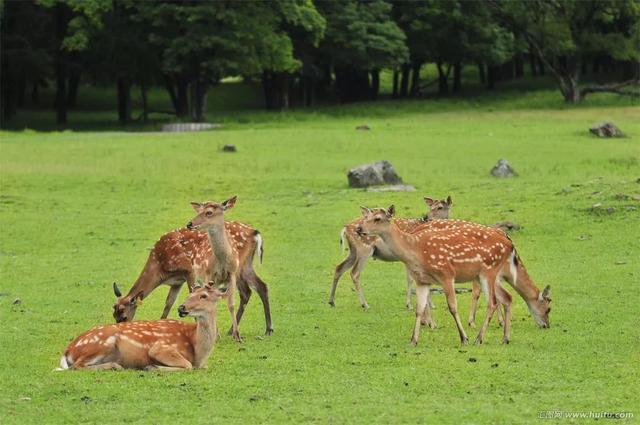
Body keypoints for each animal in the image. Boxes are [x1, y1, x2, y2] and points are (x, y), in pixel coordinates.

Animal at [58, 284, 228, 372]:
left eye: (204, 295)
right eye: (189, 294)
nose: (182, 307)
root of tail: (68, 350)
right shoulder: (161, 347)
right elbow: (188, 365)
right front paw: (152, 367)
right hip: (102, 344)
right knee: (76, 366)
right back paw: (116, 366)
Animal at [113, 209, 272, 334]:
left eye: (124, 316)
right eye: (114, 316)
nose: (120, 329)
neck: (160, 267)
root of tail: (254, 233)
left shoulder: (189, 270)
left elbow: (193, 296)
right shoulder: (176, 282)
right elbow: (168, 303)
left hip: (236, 266)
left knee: (246, 291)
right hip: (246, 265)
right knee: (260, 286)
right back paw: (265, 329)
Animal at [356, 207, 552, 346]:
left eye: (377, 218)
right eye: (366, 217)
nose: (359, 228)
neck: (415, 251)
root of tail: (509, 244)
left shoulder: (446, 274)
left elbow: (453, 307)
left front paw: (464, 337)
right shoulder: (422, 281)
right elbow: (419, 308)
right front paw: (413, 340)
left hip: (488, 271)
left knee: (494, 302)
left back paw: (479, 338)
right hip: (487, 274)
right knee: (503, 299)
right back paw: (503, 338)